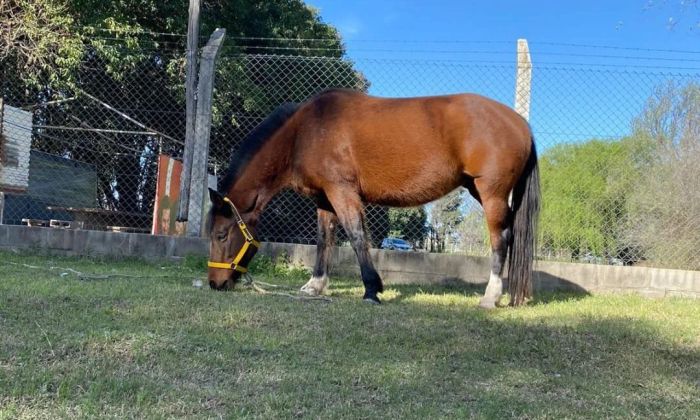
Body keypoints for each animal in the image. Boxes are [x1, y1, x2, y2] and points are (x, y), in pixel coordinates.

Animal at [205, 89, 540, 306]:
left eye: (221, 234)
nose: (214, 283)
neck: (304, 132)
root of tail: (520, 123)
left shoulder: (342, 191)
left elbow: (356, 236)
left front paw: (371, 289)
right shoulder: (324, 199)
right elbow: (324, 240)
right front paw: (315, 286)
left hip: (492, 192)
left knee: (500, 239)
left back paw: (490, 296)